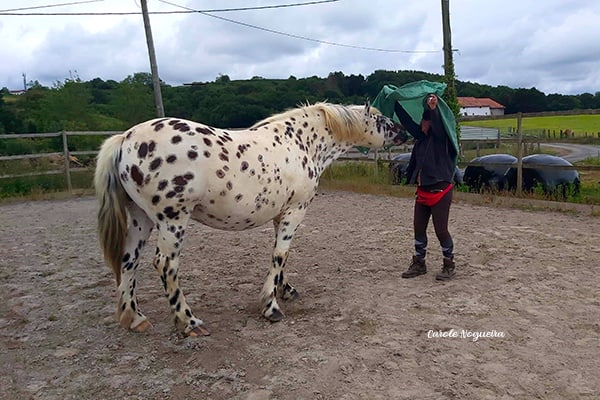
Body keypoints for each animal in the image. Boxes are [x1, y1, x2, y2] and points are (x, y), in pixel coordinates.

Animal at [95, 101, 408, 336]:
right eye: (380, 118)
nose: (404, 132)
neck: (301, 142)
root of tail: (125, 140)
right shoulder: (296, 210)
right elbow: (280, 254)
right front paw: (271, 307)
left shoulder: (281, 214)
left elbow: (280, 256)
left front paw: (285, 290)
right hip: (172, 220)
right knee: (165, 264)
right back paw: (189, 322)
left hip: (142, 219)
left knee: (129, 261)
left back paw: (135, 318)